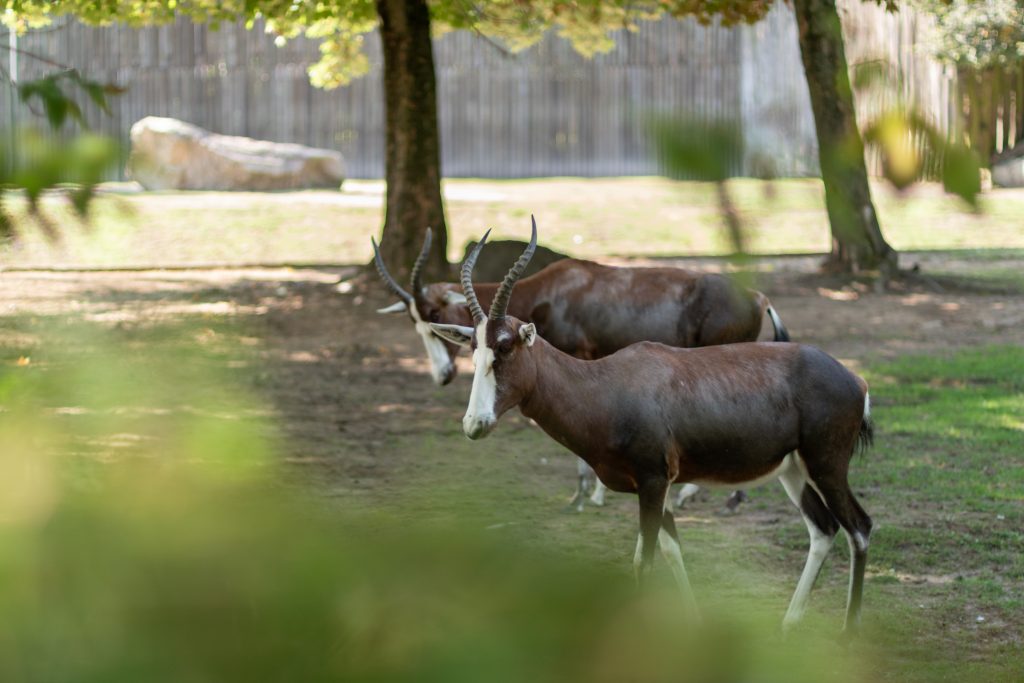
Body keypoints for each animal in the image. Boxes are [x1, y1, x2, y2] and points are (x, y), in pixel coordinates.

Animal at [370, 224, 790, 511]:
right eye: (415, 323)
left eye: (434, 314)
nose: (442, 376)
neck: (556, 291)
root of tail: (758, 297)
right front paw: (581, 495)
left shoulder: (584, 359)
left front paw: (590, 495)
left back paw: (714, 496)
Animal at [430, 223, 872, 634]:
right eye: (475, 350)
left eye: (505, 346)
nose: (475, 424)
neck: (605, 385)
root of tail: (854, 380)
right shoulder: (657, 488)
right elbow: (671, 552)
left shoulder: (653, 481)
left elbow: (642, 563)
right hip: (793, 470)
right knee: (823, 529)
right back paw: (789, 624)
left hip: (826, 465)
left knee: (859, 527)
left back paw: (849, 631)